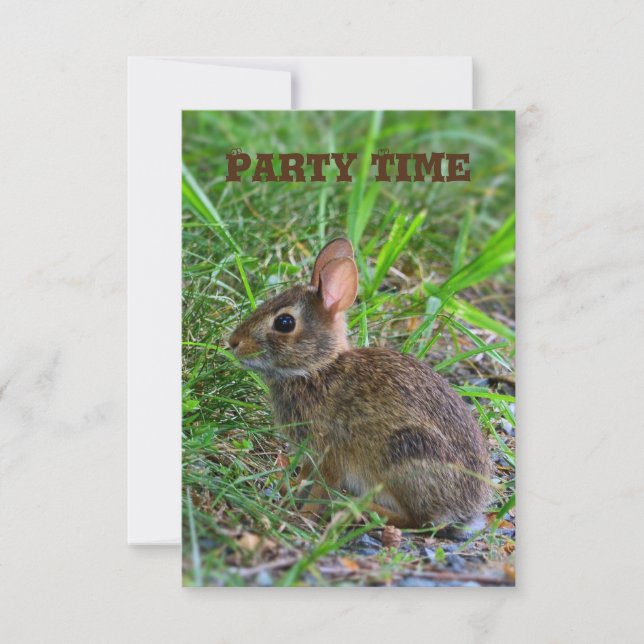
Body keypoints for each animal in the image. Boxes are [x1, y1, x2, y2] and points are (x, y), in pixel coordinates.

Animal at [228, 238, 492, 529]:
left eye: (284, 322)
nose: (233, 342)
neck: (317, 369)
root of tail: (469, 504)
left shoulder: (329, 452)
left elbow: (321, 486)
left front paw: (303, 516)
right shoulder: (309, 454)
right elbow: (304, 479)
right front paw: (286, 490)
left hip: (405, 455)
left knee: (417, 519)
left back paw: (355, 509)